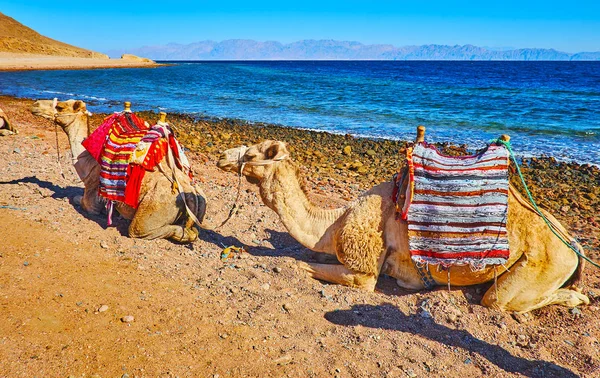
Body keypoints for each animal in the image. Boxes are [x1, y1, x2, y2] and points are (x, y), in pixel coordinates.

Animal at [32, 99, 206, 242]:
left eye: (60, 107)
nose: (35, 105)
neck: (89, 162)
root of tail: (191, 193)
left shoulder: (92, 195)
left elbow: (80, 200)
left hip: (155, 206)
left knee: (139, 229)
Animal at [217, 139, 592, 314]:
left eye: (254, 154)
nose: (222, 157)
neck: (334, 223)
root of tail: (572, 243)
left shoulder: (365, 271)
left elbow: (299, 266)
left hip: (542, 262)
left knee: (500, 300)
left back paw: (578, 297)